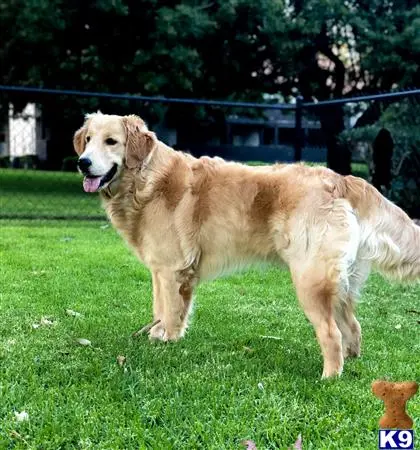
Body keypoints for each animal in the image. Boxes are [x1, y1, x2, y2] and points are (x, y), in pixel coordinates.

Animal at [74, 111, 418, 376]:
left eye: (111, 141)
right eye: (88, 139)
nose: (82, 162)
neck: (146, 180)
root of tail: (341, 179)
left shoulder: (173, 269)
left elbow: (171, 311)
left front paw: (168, 341)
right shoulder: (161, 270)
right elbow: (160, 307)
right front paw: (157, 335)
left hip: (310, 279)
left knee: (331, 333)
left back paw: (329, 378)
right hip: (340, 283)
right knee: (354, 326)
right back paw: (350, 363)